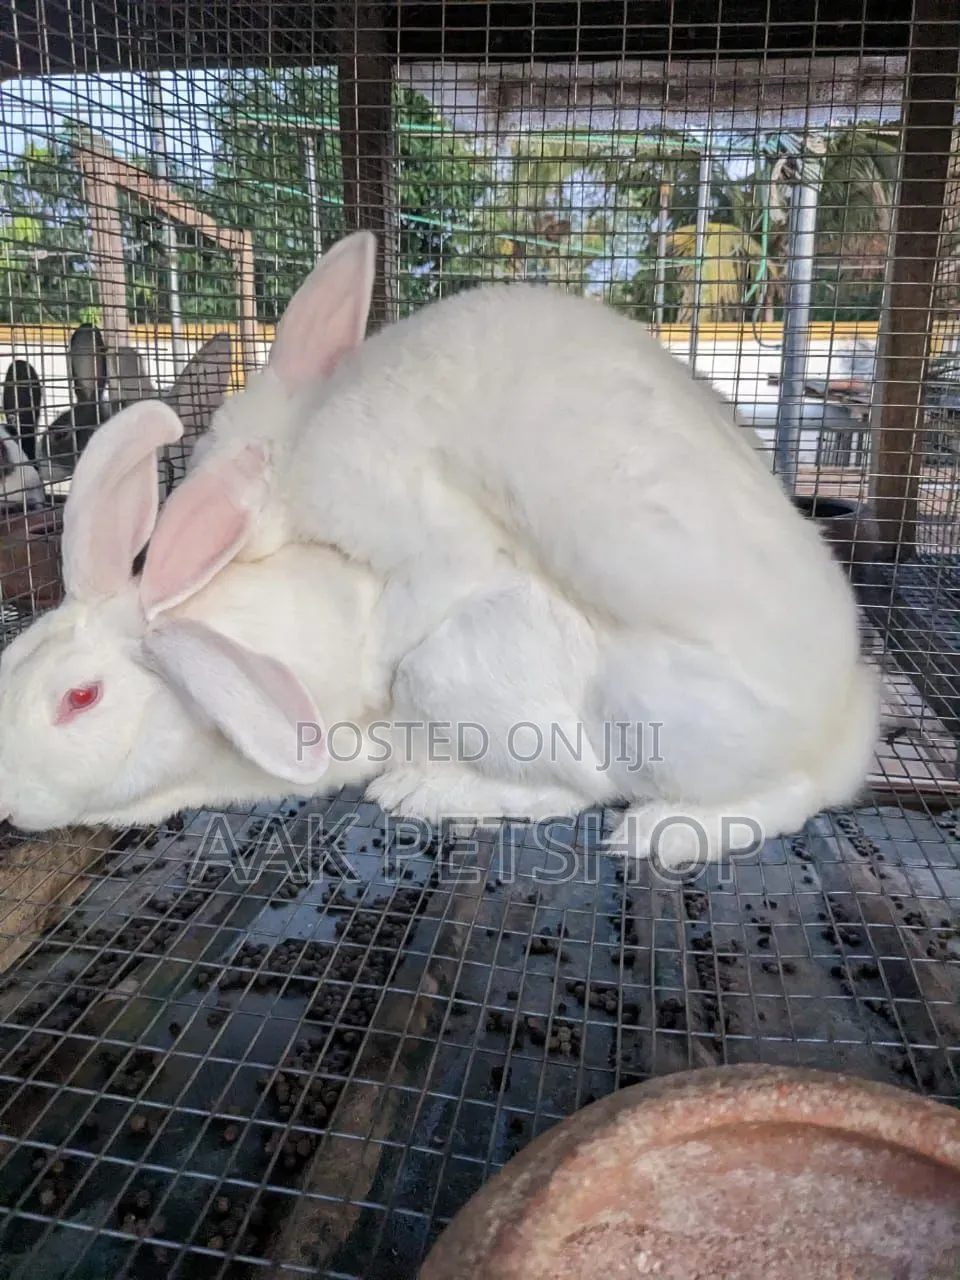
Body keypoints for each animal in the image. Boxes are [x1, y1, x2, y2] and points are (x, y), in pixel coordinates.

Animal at [184, 230, 881, 866]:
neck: (305, 431)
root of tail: (837, 730)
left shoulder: (424, 533)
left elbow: (411, 604)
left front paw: (375, 674)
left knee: (758, 793)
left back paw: (658, 833)